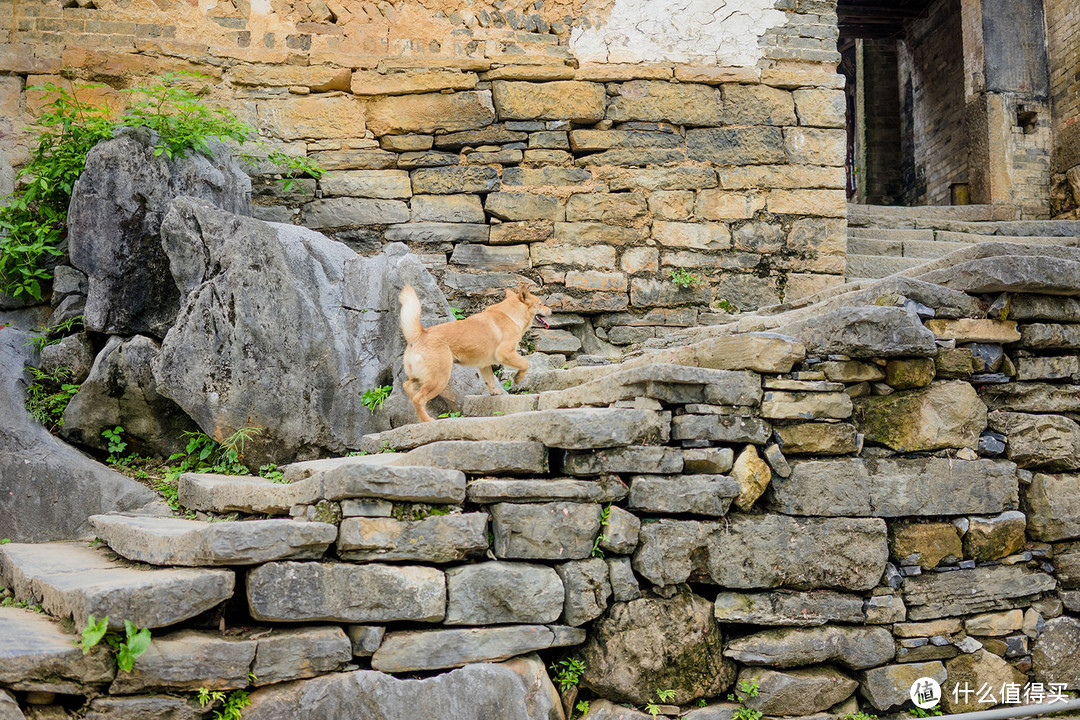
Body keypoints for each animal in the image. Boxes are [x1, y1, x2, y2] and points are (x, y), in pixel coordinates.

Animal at [399, 284, 552, 423]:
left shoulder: (484, 365)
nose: (551, 310)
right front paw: (519, 378)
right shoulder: (505, 354)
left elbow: (489, 380)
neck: (510, 315)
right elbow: (525, 363)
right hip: (439, 379)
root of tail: (420, 334)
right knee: (418, 399)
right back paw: (427, 420)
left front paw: (494, 392)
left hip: (423, 378)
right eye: (540, 303)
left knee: (408, 387)